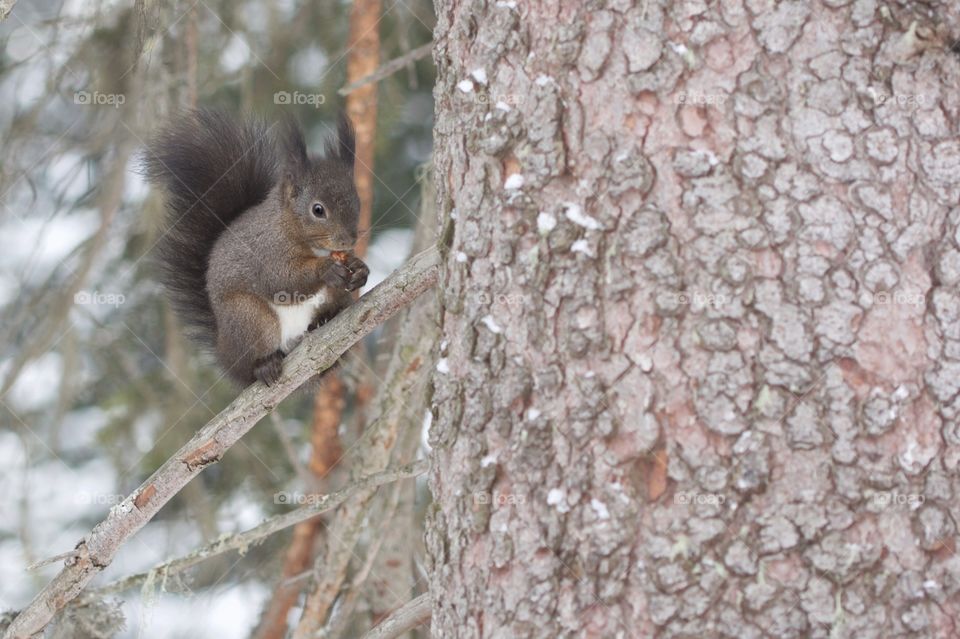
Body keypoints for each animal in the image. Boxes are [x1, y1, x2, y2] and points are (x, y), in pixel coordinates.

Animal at [144, 110, 370, 388]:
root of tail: (225, 353)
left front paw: (360, 270)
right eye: (318, 210)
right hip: (248, 318)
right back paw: (264, 366)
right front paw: (326, 270)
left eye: (357, 202)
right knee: (251, 363)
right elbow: (280, 281)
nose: (348, 241)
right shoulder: (266, 251)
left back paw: (324, 321)